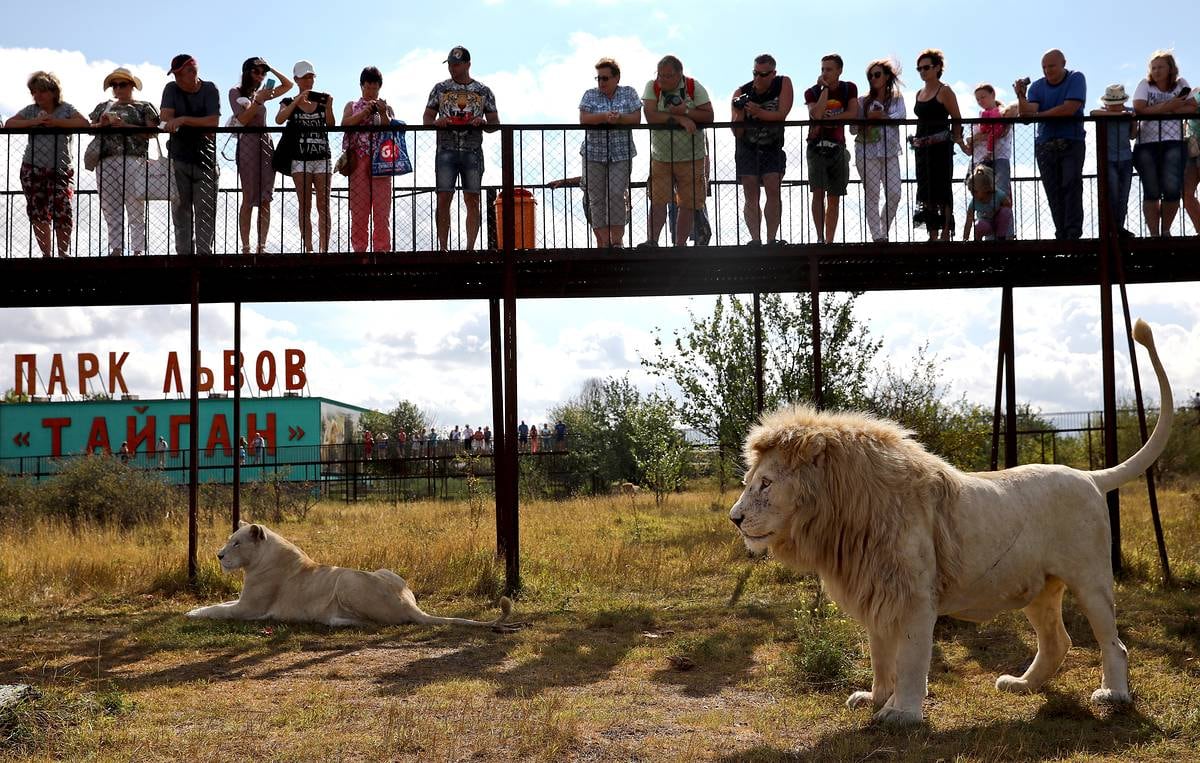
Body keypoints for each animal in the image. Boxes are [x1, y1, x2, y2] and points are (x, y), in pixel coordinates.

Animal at [186, 522, 515, 630]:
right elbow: (220, 603)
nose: (219, 555)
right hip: (384, 572)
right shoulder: (243, 602)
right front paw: (194, 608)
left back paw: (333, 620)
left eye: (236, 543)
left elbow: (218, 610)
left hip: (345, 579)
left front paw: (192, 613)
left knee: (374, 623)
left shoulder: (249, 609)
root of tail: (409, 604)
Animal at [729, 319, 1173, 725]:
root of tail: (1090, 476)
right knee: (1056, 642)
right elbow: (880, 655)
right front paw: (875, 698)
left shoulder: (913, 597)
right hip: (1038, 587)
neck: (844, 518)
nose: (735, 518)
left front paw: (900, 713)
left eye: (765, 483)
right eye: (749, 481)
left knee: (1113, 643)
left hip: (1090, 579)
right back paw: (1021, 685)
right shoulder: (877, 591)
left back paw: (1113, 695)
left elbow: (909, 659)